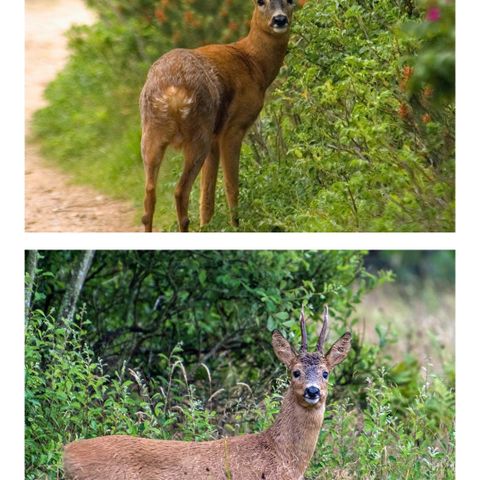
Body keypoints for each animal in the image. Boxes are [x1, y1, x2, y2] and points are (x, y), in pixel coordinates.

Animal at [139, 0, 296, 232]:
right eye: (260, 2)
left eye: (291, 1)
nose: (279, 19)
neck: (254, 63)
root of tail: (172, 93)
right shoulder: (234, 126)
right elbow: (231, 185)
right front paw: (235, 225)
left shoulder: (215, 135)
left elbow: (207, 193)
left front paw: (208, 225)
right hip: (198, 132)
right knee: (180, 191)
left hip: (152, 133)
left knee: (149, 194)